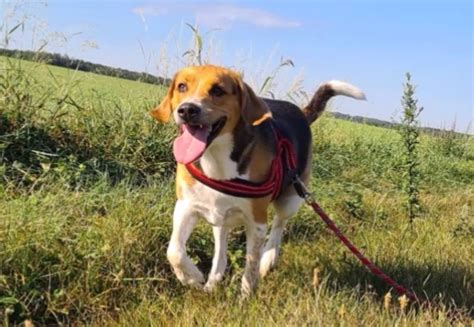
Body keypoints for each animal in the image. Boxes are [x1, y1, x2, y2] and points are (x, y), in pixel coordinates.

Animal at [150, 65, 364, 296]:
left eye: (217, 90)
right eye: (182, 86)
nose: (187, 110)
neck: (217, 160)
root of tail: (299, 112)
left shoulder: (257, 221)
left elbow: (251, 263)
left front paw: (246, 296)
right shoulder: (185, 206)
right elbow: (174, 251)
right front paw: (192, 278)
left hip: (292, 197)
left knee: (278, 225)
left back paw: (268, 260)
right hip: (220, 217)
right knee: (220, 252)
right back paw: (212, 282)